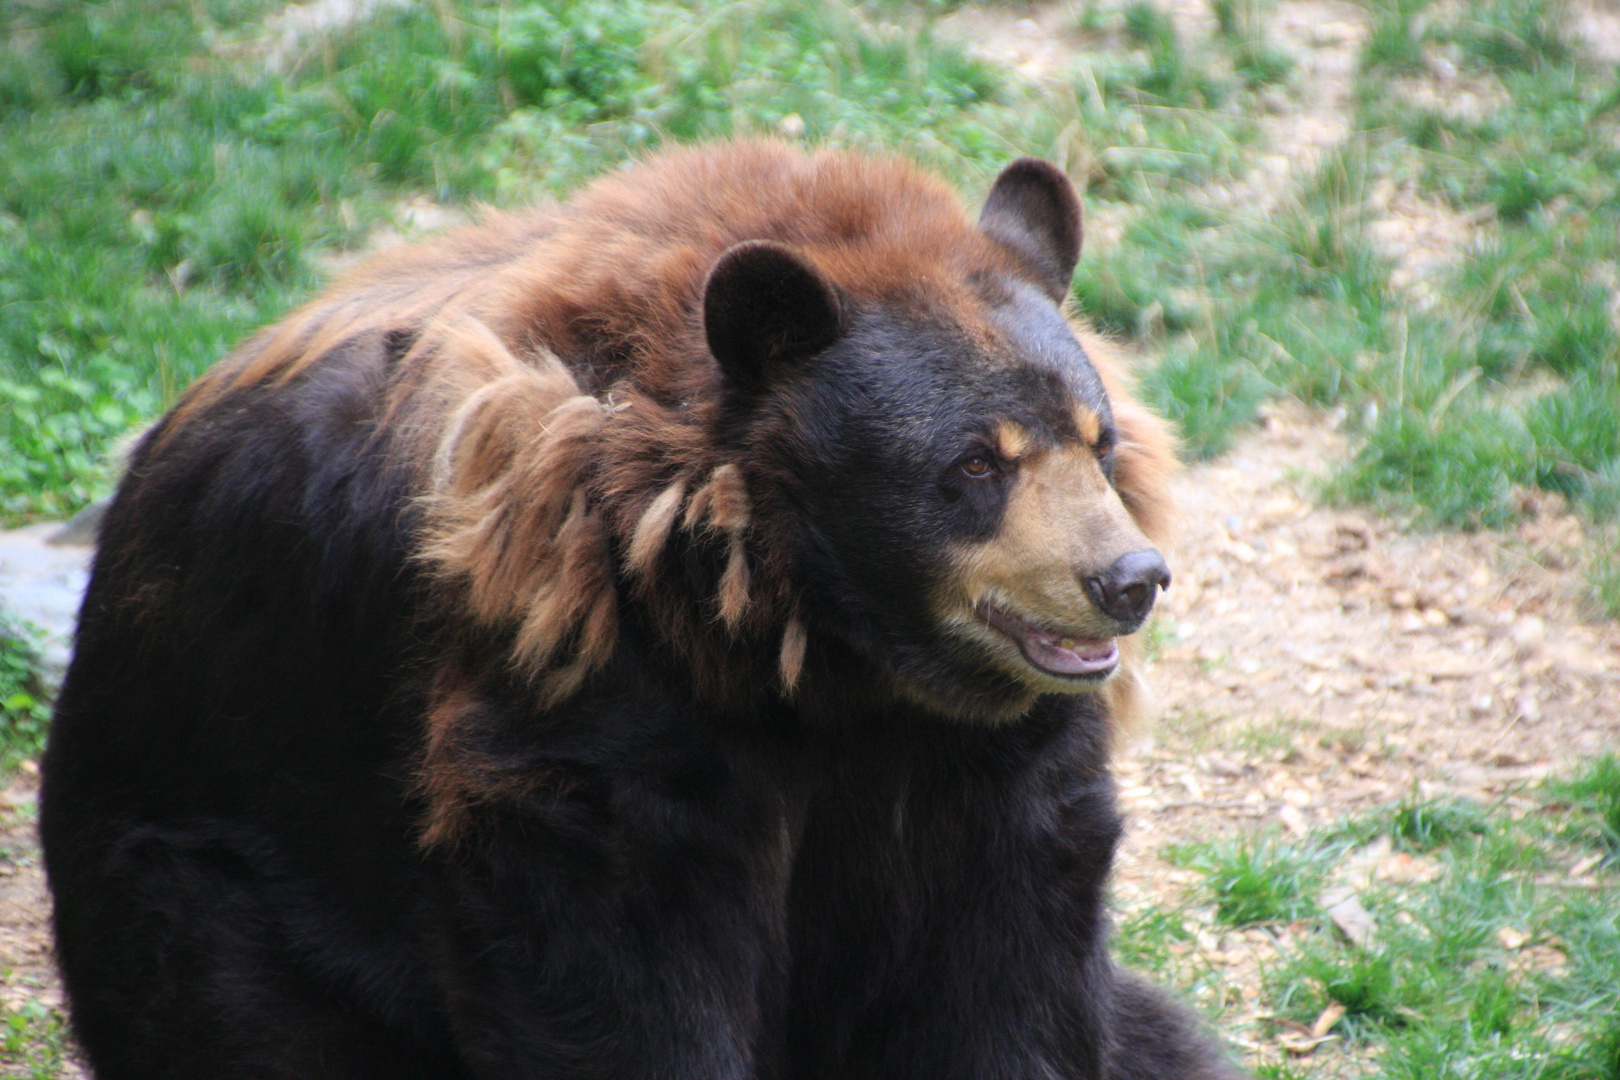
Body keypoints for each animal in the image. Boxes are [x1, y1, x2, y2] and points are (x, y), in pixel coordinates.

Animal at [44, 143, 1244, 1080]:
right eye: (973, 464)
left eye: (1097, 438)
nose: (1129, 578)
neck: (804, 643)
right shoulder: (574, 660)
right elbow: (614, 950)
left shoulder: (971, 763)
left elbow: (1009, 945)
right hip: (223, 898)